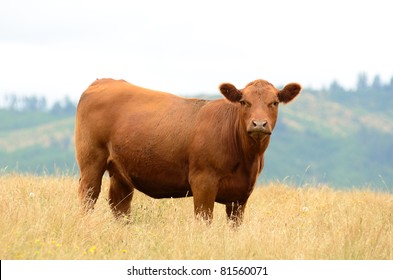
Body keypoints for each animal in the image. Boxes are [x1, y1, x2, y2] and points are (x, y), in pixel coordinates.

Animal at [74, 77, 300, 224]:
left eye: (274, 102)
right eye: (244, 102)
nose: (259, 124)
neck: (247, 160)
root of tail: (104, 81)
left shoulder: (241, 194)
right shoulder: (203, 182)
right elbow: (204, 222)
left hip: (121, 172)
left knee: (119, 205)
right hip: (91, 161)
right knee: (88, 197)